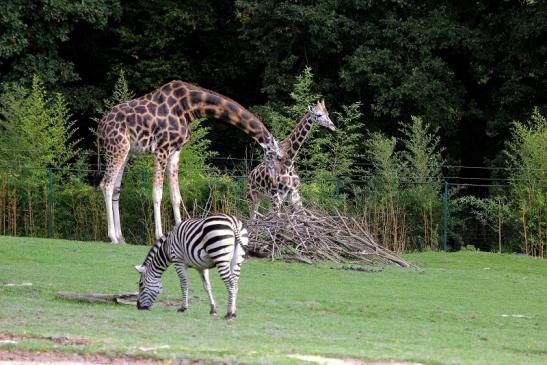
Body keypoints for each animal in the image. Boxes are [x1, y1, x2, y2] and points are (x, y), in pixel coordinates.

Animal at [97, 81, 282, 243]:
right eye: (278, 158)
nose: (277, 183)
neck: (190, 107)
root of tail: (101, 126)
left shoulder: (174, 152)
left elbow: (176, 197)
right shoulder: (161, 149)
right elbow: (157, 193)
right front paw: (159, 235)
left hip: (126, 151)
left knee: (116, 188)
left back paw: (121, 237)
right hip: (117, 147)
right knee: (106, 184)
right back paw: (112, 237)